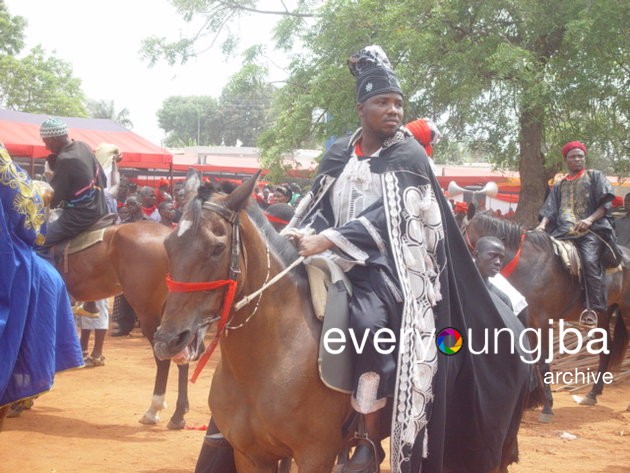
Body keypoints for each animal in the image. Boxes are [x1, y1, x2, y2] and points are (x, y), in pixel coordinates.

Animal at [462, 212, 628, 418]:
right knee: (606, 350)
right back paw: (592, 394)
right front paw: (533, 401)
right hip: (603, 315)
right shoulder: (527, 319)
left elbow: (542, 360)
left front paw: (547, 405)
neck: (528, 265)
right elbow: (531, 356)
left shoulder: (543, 320)